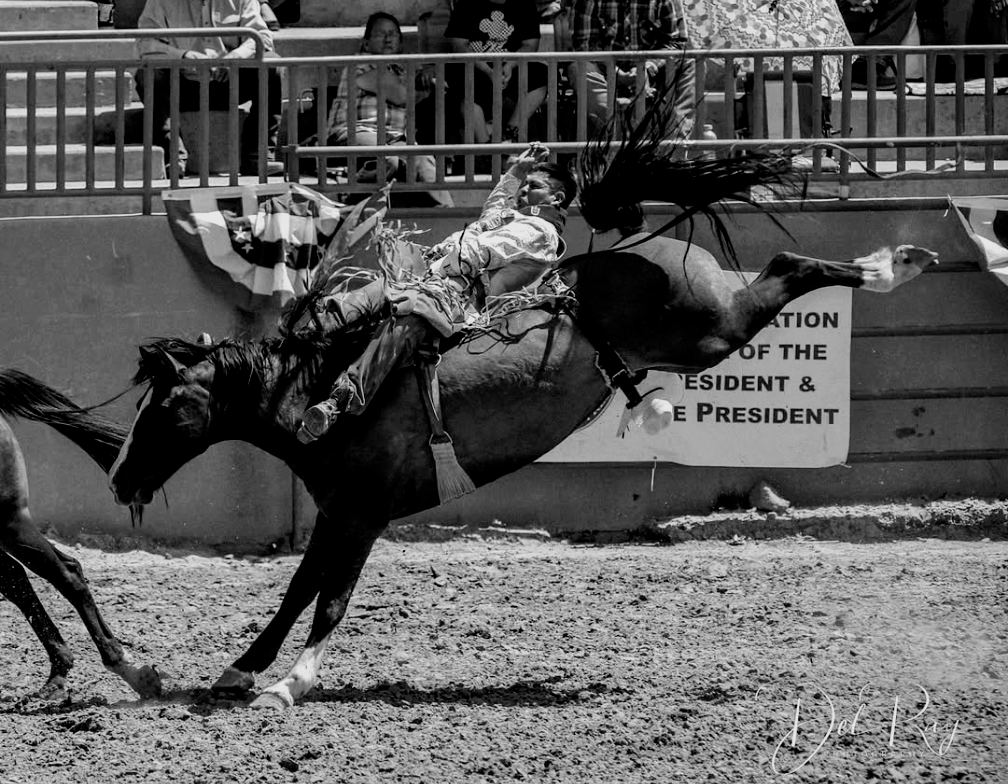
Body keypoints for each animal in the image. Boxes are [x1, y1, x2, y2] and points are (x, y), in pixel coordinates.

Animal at [104, 87, 935, 709]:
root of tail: (651, 255)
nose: (118, 478)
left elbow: (331, 599)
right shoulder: (336, 511)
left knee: (792, 265)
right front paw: (239, 671)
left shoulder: (363, 513)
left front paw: (290, 684)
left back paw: (896, 263)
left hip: (712, 329)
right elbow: (296, 593)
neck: (317, 388)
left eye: (165, 410)